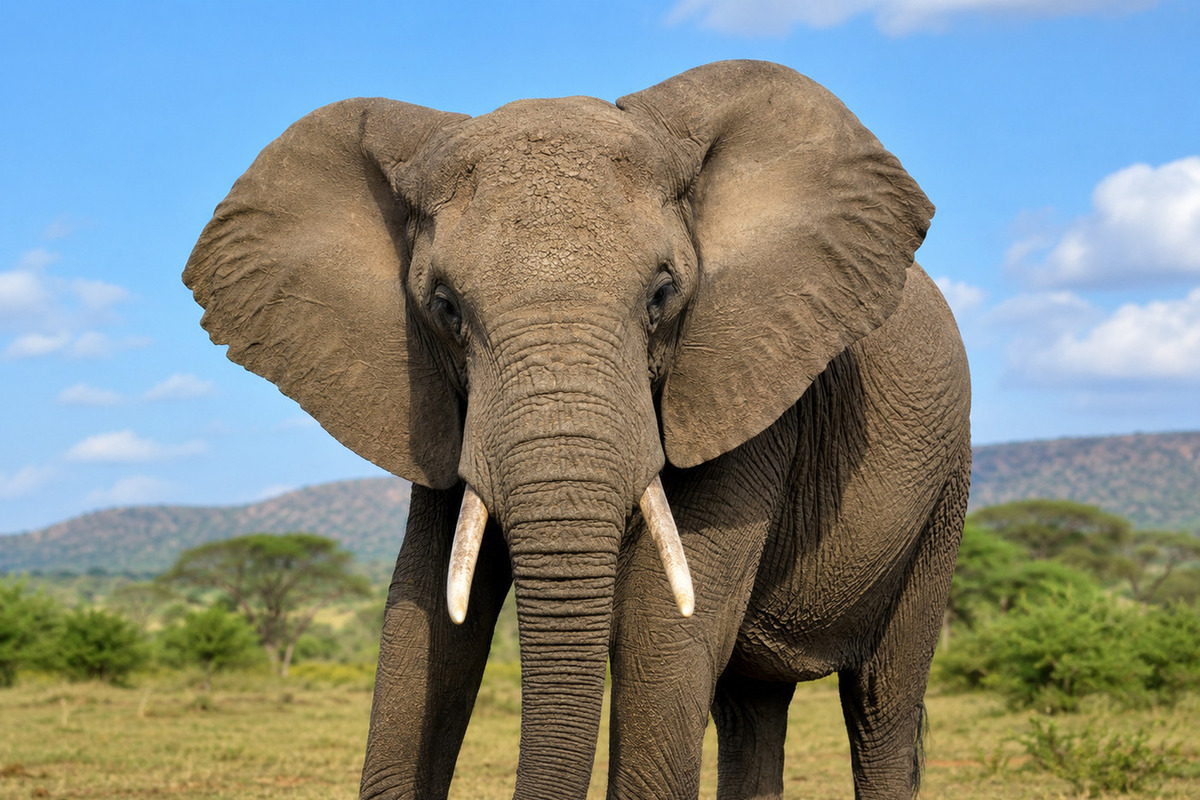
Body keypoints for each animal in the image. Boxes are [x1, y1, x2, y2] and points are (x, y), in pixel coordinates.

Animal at [183, 60, 970, 799]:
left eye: (663, 294)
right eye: (444, 307)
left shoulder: (748, 377)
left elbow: (661, 631)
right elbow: (424, 623)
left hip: (944, 496)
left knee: (882, 701)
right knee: (752, 707)